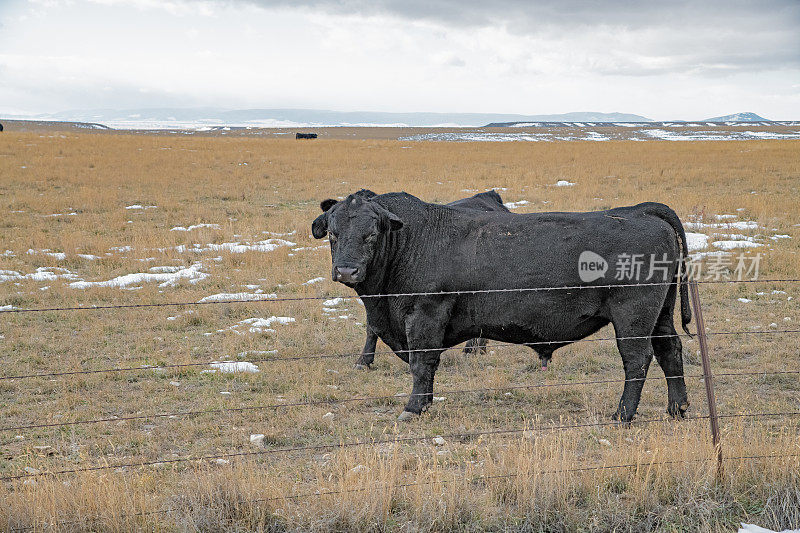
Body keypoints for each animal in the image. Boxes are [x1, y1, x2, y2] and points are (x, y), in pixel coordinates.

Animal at [312, 192, 692, 424]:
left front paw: (413, 408)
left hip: (634, 315)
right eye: (332, 233)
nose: (346, 270)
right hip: (661, 313)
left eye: (372, 233)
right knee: (670, 350)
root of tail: (639, 211)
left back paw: (623, 415)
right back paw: (677, 408)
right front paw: (426, 403)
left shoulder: (426, 313)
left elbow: (422, 364)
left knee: (637, 360)